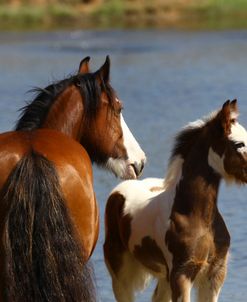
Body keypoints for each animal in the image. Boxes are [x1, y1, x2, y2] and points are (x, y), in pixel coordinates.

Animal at [103, 99, 247, 302]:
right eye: (239, 144)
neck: (197, 216)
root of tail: (119, 191)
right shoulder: (181, 273)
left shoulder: (215, 273)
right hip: (120, 273)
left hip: (164, 277)